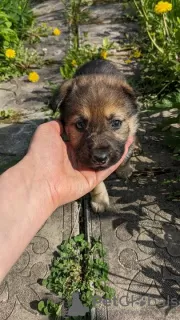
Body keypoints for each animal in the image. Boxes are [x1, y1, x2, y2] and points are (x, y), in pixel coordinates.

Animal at [50, 59, 139, 212]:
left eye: (116, 123)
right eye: (80, 125)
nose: (100, 158)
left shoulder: (131, 132)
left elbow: (127, 154)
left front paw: (124, 170)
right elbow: (96, 184)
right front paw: (100, 201)